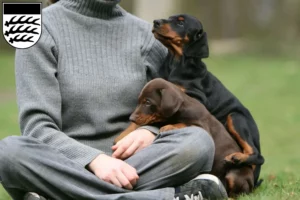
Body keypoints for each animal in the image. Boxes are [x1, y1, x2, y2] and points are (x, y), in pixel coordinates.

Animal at [152, 14, 264, 188]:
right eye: (170, 18)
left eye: (181, 22)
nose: (155, 22)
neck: (176, 63)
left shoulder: (196, 101)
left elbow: (188, 118)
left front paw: (171, 126)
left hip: (236, 117)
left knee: (258, 155)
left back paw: (237, 158)